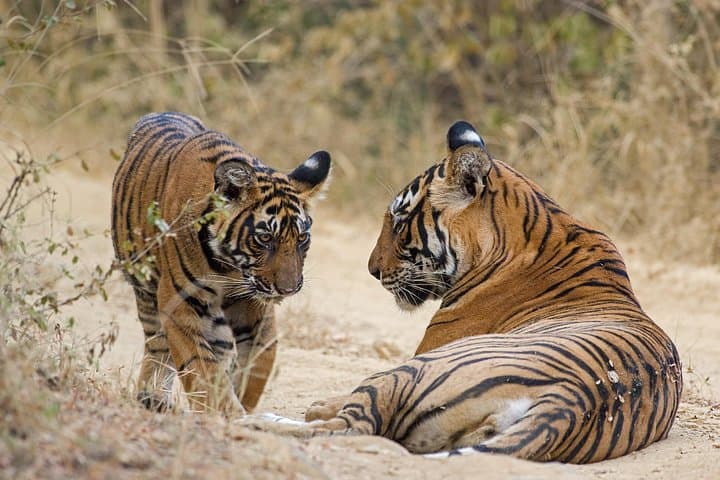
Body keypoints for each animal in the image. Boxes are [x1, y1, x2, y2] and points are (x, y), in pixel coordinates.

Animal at [111, 112, 331, 415]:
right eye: (265, 238)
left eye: (302, 238)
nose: (288, 289)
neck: (229, 267)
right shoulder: (179, 301)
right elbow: (201, 367)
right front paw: (226, 411)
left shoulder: (253, 305)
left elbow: (261, 359)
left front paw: (242, 405)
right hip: (145, 290)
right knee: (158, 345)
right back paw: (152, 397)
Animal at [245, 120, 682, 463]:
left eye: (399, 221)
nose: (372, 270)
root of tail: (569, 402)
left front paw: (317, 405)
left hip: (409, 371)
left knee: (350, 425)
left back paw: (258, 421)